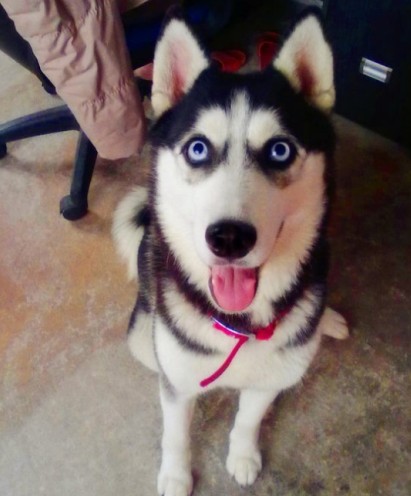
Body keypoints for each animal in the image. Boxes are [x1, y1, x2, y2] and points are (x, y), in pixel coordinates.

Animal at [113, 10, 348, 496]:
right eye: (197, 148)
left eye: (280, 150)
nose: (229, 238)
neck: (240, 324)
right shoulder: (177, 380)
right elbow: (176, 433)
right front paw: (175, 476)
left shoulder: (272, 378)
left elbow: (247, 420)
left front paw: (242, 457)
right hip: (143, 337)